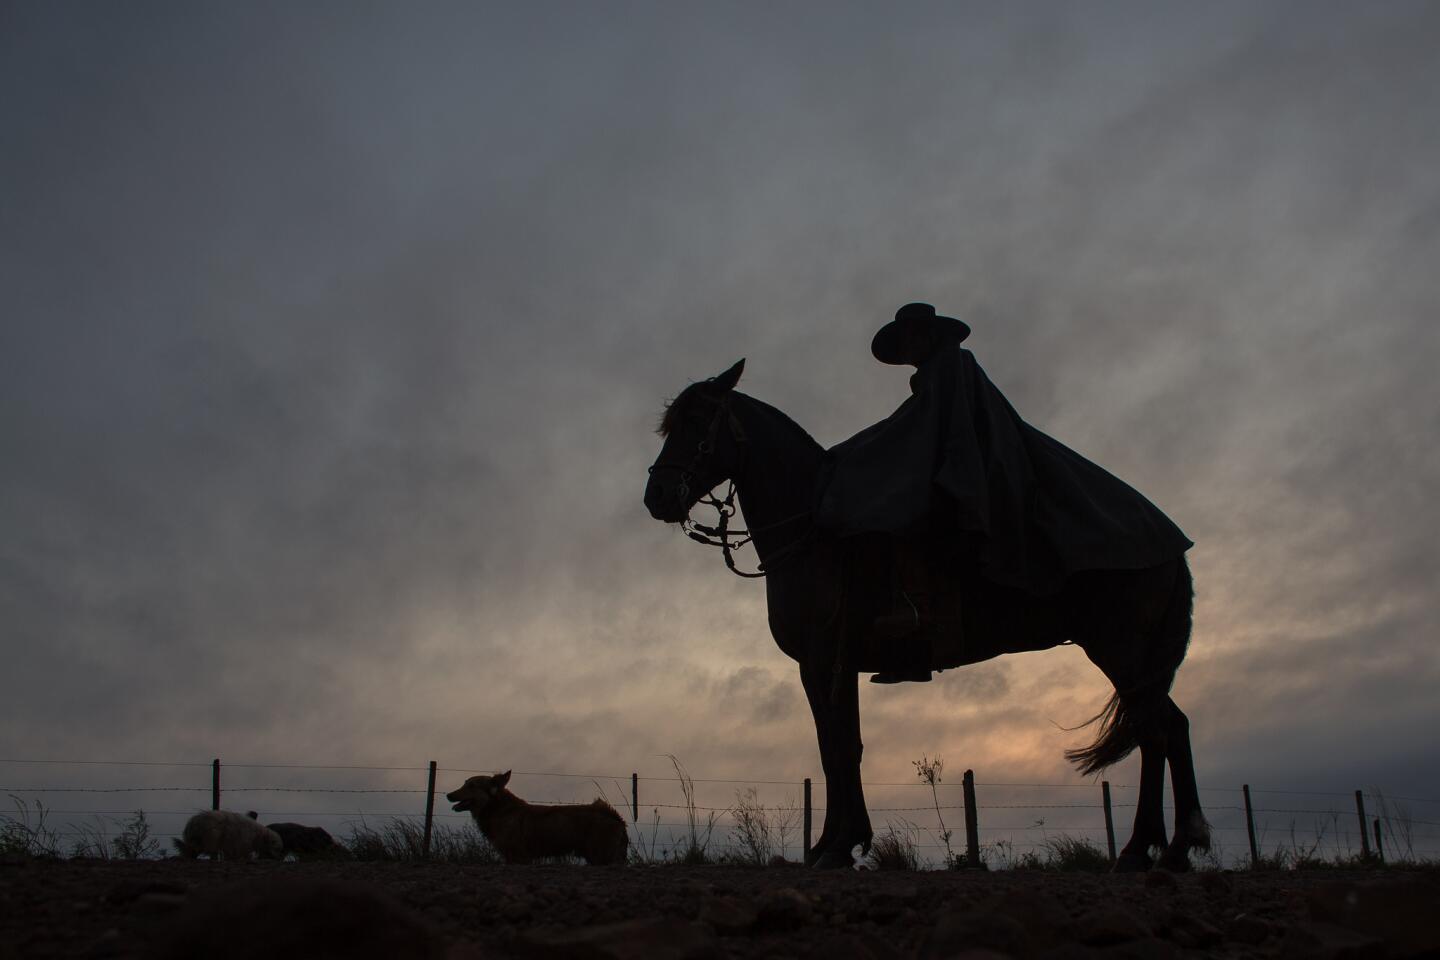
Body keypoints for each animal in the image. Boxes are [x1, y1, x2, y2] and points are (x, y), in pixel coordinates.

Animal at [446, 771, 627, 869]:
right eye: (464, 784)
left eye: (471, 786)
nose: (448, 795)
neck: (498, 809)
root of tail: (615, 817)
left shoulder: (518, 857)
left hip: (602, 856)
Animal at [648, 358, 1209, 869]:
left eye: (698, 421)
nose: (656, 497)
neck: (811, 532)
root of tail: (1170, 541)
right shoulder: (836, 666)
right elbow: (842, 746)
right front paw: (838, 842)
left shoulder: (819, 659)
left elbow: (836, 747)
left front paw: (837, 846)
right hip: (1134, 661)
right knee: (1166, 729)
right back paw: (1163, 848)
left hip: (1122, 650)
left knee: (1159, 731)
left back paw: (1154, 848)